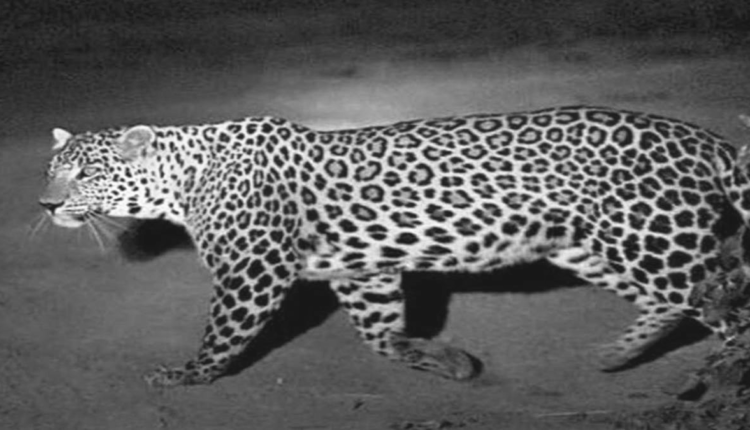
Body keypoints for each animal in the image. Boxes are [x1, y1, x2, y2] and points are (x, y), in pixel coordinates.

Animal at [39, 105, 750, 388]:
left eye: (87, 172)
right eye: (52, 169)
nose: (45, 205)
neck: (180, 180)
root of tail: (698, 136)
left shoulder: (254, 269)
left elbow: (225, 331)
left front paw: (188, 374)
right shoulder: (363, 270)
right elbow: (378, 334)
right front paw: (444, 359)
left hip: (650, 236)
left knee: (726, 305)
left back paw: (720, 375)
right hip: (593, 245)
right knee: (678, 302)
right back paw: (616, 355)